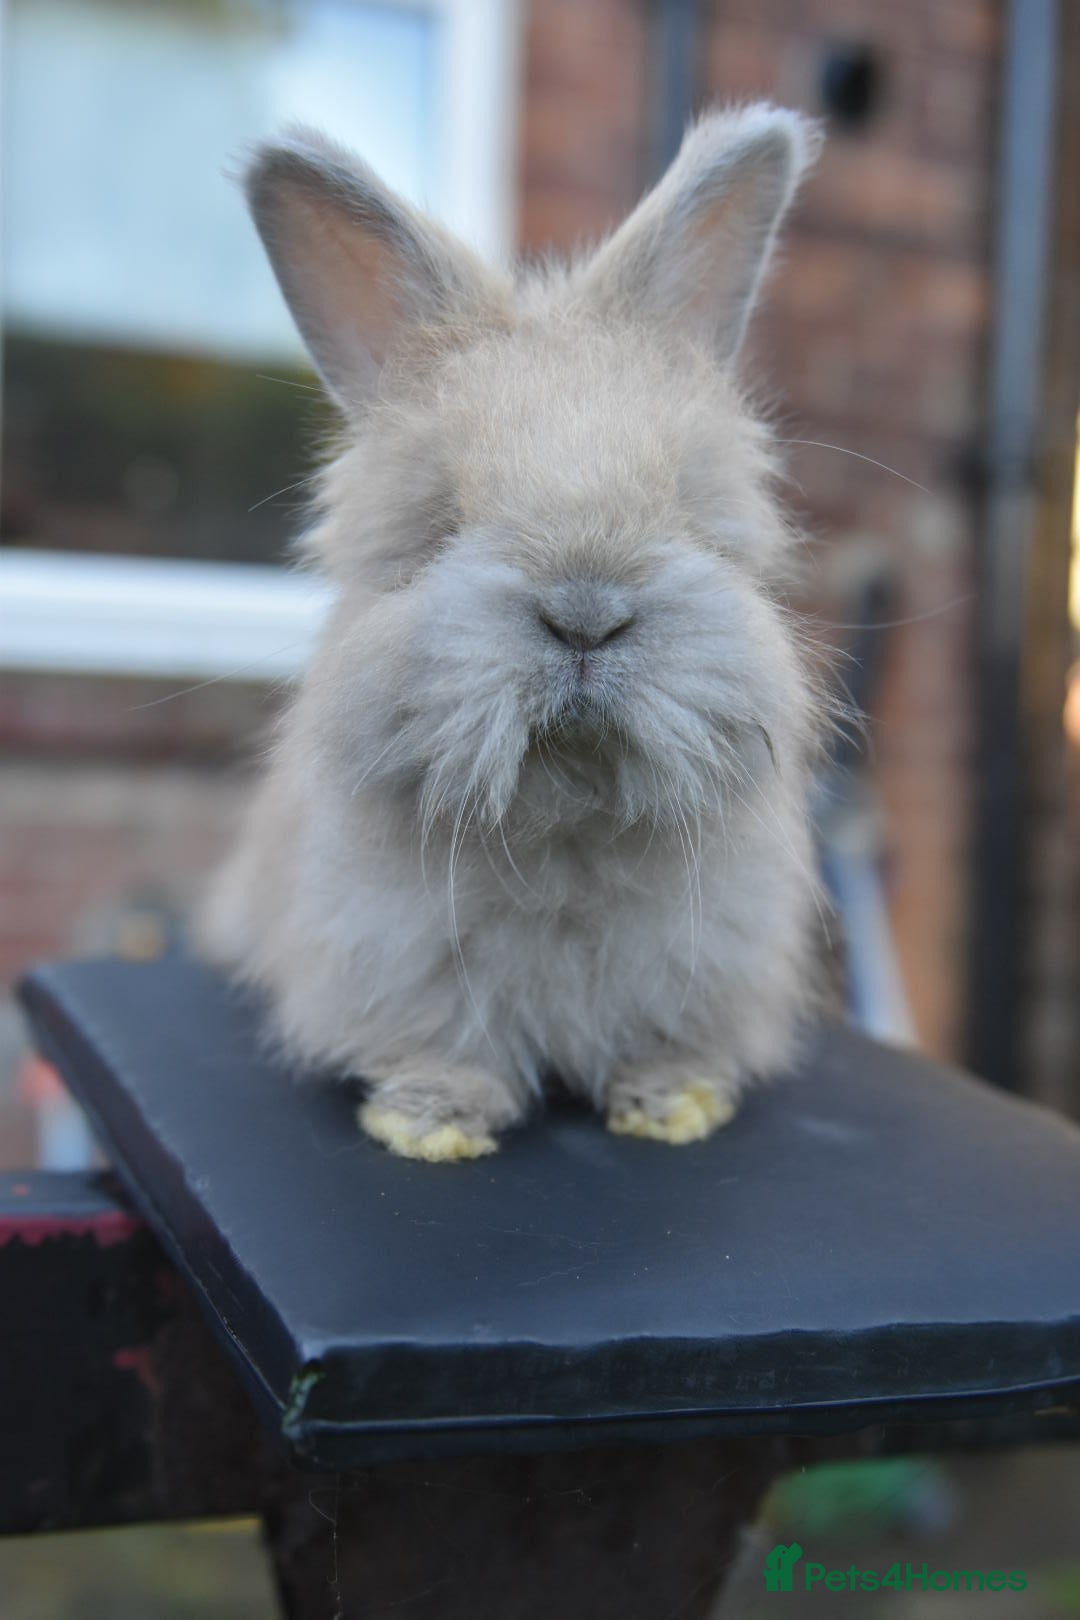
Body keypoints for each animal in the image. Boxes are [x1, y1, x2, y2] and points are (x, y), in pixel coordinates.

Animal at [198, 103, 832, 1162]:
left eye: (687, 505)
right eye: (442, 519)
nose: (585, 614)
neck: (565, 826)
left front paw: (673, 1106)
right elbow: (441, 1046)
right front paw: (429, 1122)